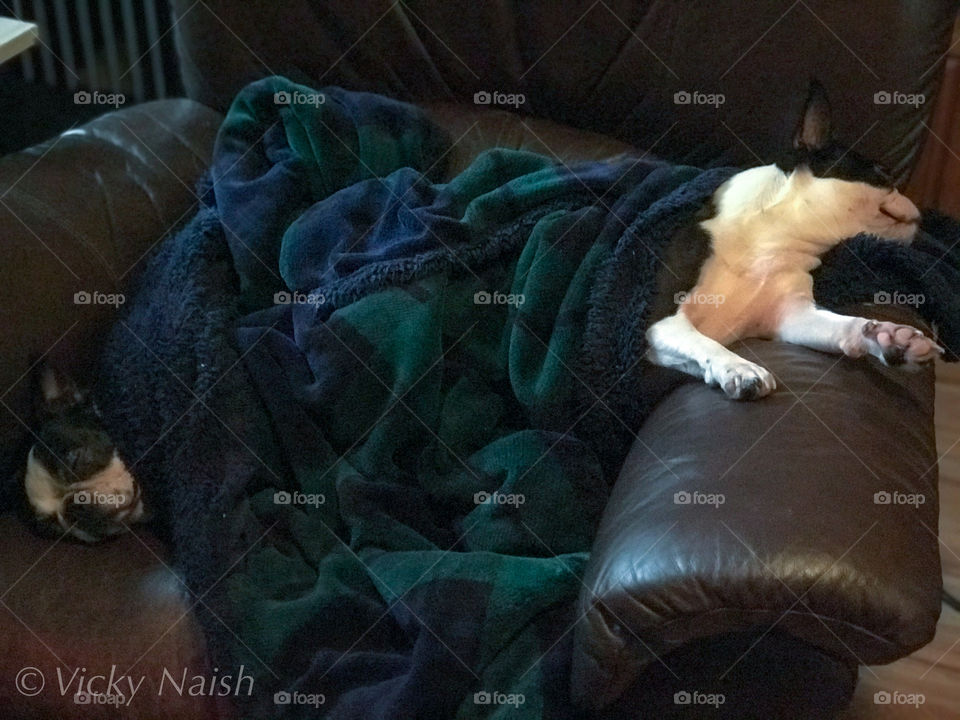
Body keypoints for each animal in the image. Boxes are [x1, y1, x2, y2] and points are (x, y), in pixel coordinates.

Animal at [640, 85, 940, 402]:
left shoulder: (792, 316)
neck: (773, 234)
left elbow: (844, 325)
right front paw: (738, 367)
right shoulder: (661, 323)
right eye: (883, 173)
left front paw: (889, 338)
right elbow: (705, 343)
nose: (923, 211)